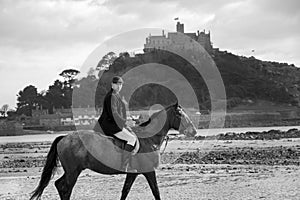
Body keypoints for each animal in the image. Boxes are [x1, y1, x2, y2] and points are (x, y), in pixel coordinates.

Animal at [29, 103, 197, 200]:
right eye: (180, 114)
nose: (194, 131)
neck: (148, 139)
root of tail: (64, 137)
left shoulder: (133, 173)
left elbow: (125, 191)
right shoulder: (149, 171)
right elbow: (156, 192)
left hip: (72, 171)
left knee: (60, 185)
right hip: (73, 172)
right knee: (65, 188)